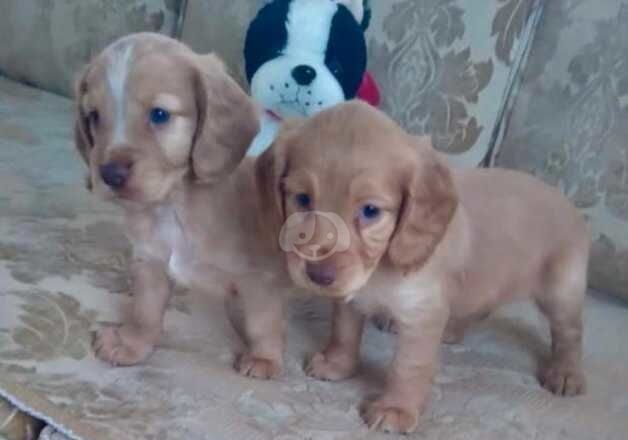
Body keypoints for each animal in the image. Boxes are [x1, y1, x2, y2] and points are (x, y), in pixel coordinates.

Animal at [76, 32, 292, 376]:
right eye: (94, 116)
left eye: (160, 114)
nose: (109, 174)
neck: (173, 205)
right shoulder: (150, 261)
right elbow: (145, 311)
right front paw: (132, 344)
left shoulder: (261, 279)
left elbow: (263, 322)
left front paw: (264, 358)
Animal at [258, 101, 592, 434]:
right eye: (302, 199)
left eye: (370, 211)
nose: (318, 276)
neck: (379, 270)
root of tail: (569, 203)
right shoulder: (351, 298)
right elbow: (343, 333)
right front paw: (337, 364)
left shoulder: (422, 313)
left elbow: (409, 366)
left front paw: (396, 408)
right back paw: (451, 330)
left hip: (562, 290)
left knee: (569, 332)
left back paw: (566, 373)